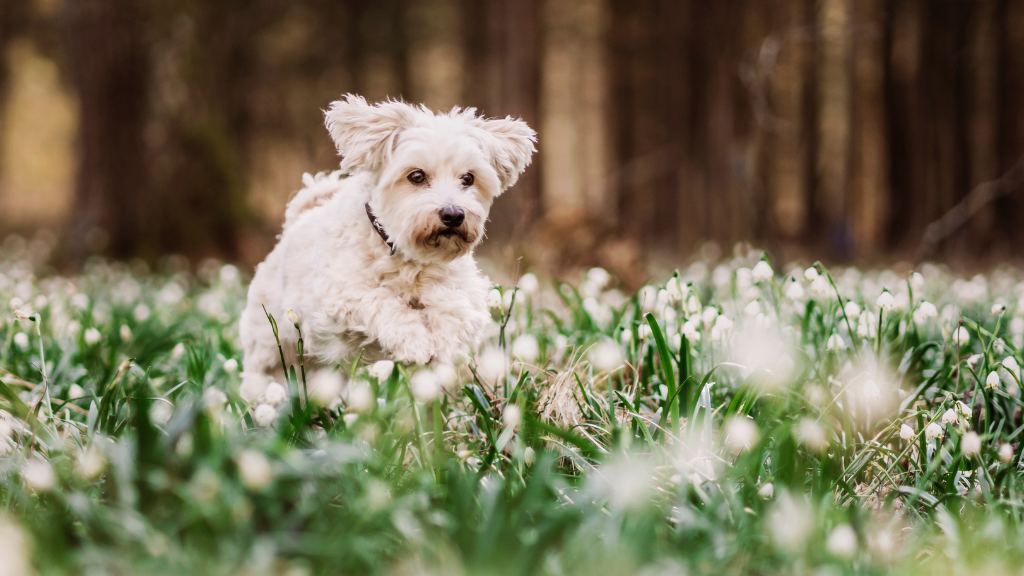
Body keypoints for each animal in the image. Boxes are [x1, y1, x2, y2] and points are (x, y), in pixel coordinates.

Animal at [238, 94, 536, 391]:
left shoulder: (468, 294)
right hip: (270, 343)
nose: (453, 214)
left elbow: (454, 306)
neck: (407, 258)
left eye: (468, 178)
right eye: (416, 176)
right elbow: (380, 301)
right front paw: (415, 340)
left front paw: (441, 337)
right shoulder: (339, 293)